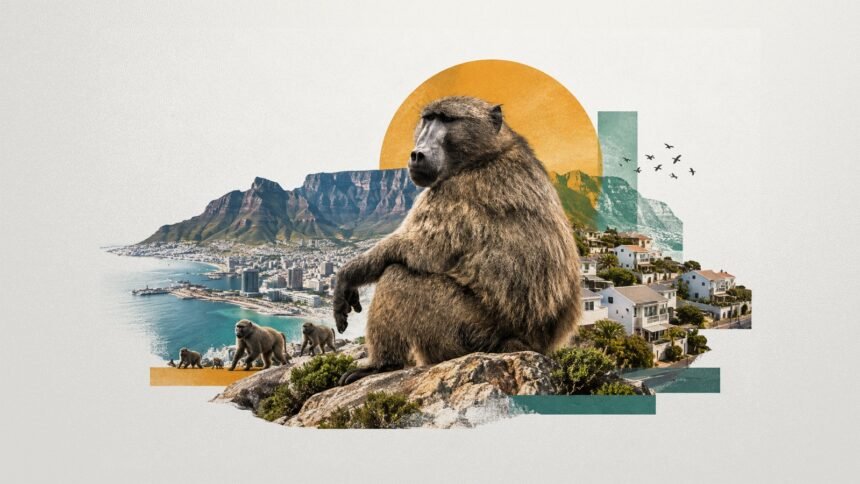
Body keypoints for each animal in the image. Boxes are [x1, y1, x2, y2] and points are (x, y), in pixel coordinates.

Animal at [334, 96, 581, 385]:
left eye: (447, 120)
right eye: (428, 119)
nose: (417, 154)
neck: (489, 152)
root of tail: (526, 344)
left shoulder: (453, 191)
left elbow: (420, 250)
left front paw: (347, 275)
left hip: (473, 334)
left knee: (396, 277)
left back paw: (381, 365)